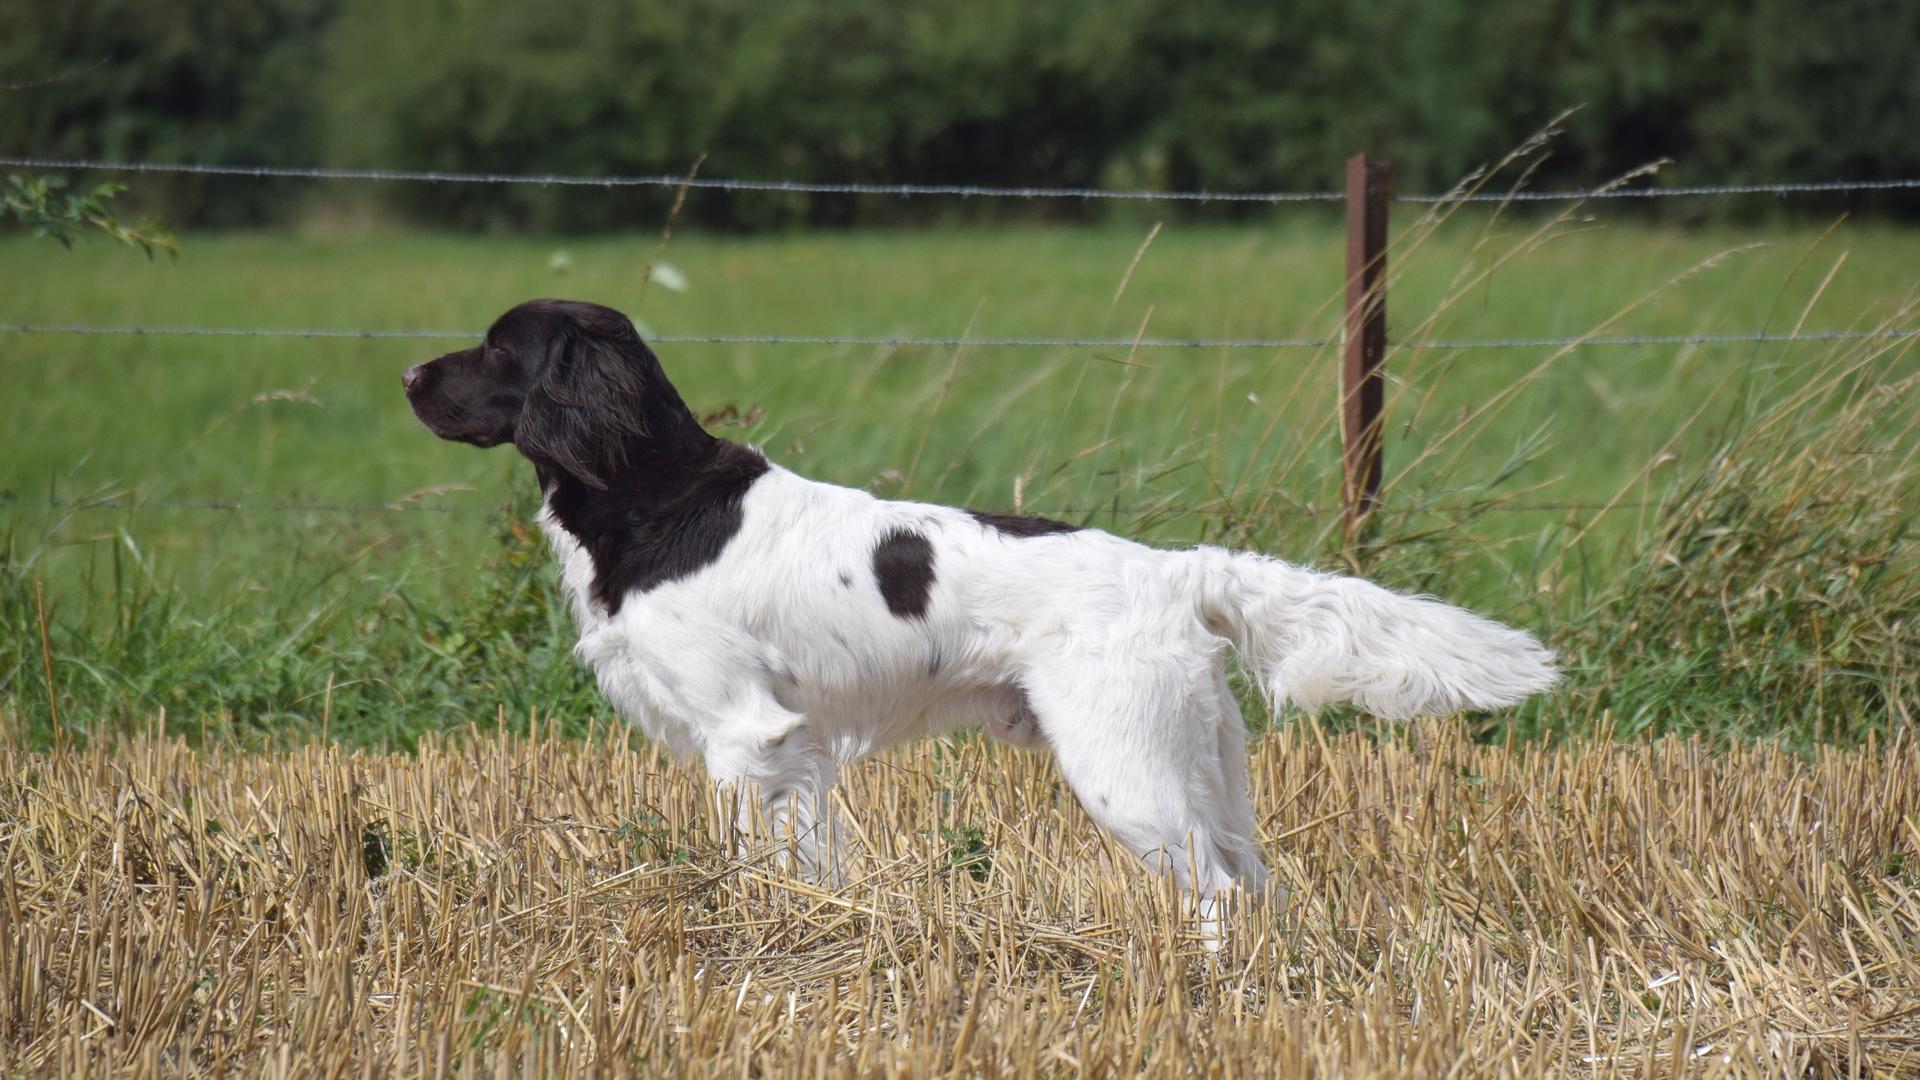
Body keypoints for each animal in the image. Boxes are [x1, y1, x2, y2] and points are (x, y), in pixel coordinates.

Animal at [405, 297, 1559, 903]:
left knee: (1218, 894)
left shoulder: (747, 733)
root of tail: (1176, 570)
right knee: (1254, 882)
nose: (411, 374)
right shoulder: (795, 748)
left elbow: (751, 855)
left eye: (499, 347)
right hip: (1205, 761)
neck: (656, 493)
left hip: (1123, 767)